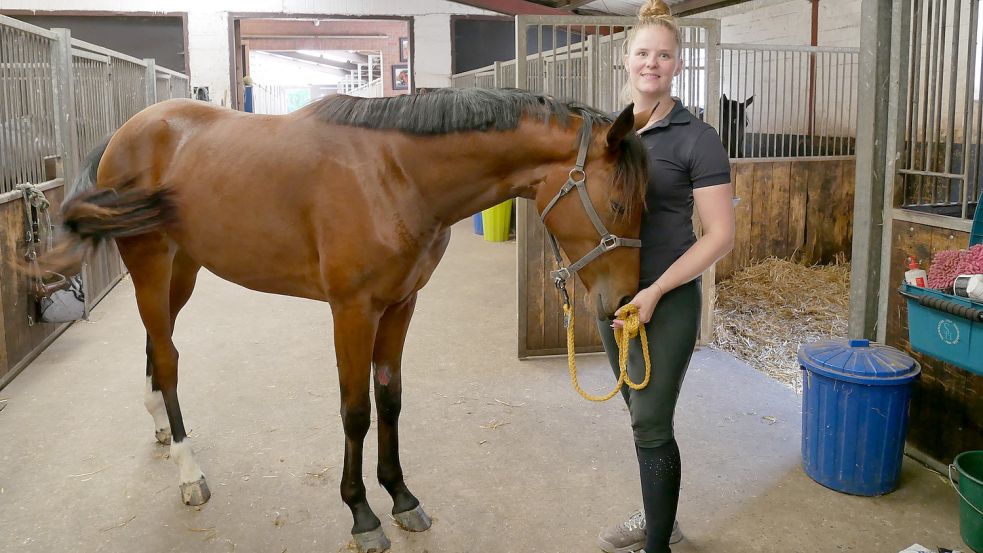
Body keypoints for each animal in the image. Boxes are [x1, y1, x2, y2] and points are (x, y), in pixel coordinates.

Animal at [52, 87, 652, 552]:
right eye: (620, 205)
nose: (627, 302)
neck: (396, 174)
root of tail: (127, 131)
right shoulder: (352, 312)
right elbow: (356, 412)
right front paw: (362, 513)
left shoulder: (401, 305)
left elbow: (390, 399)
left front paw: (401, 497)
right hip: (151, 264)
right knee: (169, 355)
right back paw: (189, 470)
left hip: (184, 267)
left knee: (157, 345)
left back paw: (158, 424)